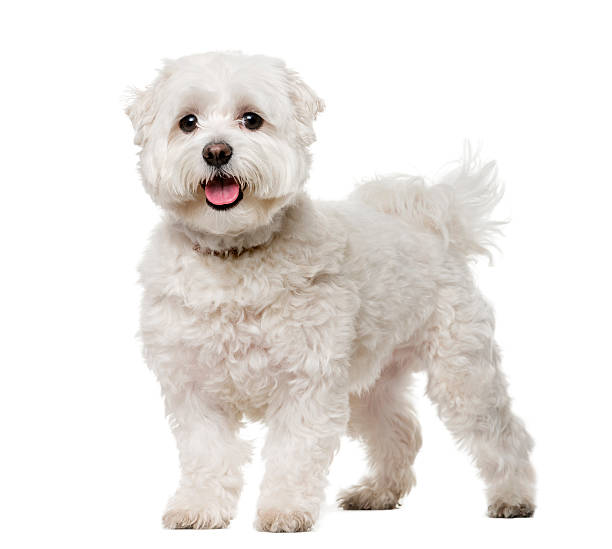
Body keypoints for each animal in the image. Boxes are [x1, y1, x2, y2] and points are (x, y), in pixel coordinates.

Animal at [125, 51, 536, 532]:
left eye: (252, 119)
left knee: (503, 435)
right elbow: (207, 454)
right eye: (187, 122)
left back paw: (514, 498)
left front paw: (285, 511)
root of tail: (432, 230)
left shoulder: (307, 383)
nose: (217, 151)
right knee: (400, 430)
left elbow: (293, 454)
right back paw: (378, 493)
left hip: (463, 374)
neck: (234, 255)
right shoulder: (194, 389)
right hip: (370, 384)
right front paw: (199, 508)